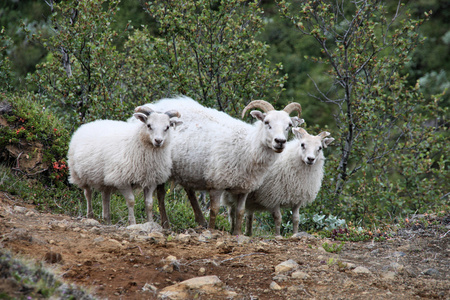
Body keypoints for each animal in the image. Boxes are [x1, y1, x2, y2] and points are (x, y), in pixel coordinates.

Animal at [143, 96, 306, 234]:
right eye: (267, 123)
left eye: (289, 125)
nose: (280, 141)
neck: (247, 145)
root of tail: (157, 104)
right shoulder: (217, 183)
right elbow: (214, 210)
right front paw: (211, 231)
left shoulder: (244, 187)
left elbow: (240, 212)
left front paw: (237, 234)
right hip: (162, 166)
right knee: (161, 195)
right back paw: (166, 225)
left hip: (188, 168)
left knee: (189, 191)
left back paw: (200, 221)